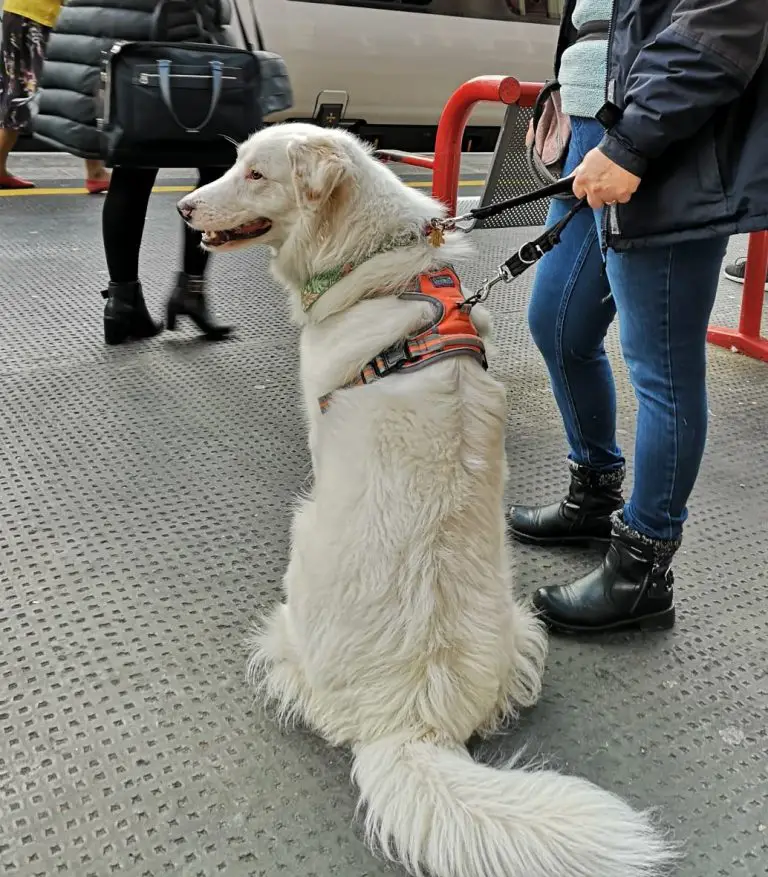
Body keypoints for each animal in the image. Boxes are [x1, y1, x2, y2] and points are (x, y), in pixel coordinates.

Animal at [178, 121, 672, 876]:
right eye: (234, 164)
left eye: (255, 174)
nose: (183, 208)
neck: (374, 263)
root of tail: (409, 722)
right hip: (522, 620)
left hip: (303, 540)